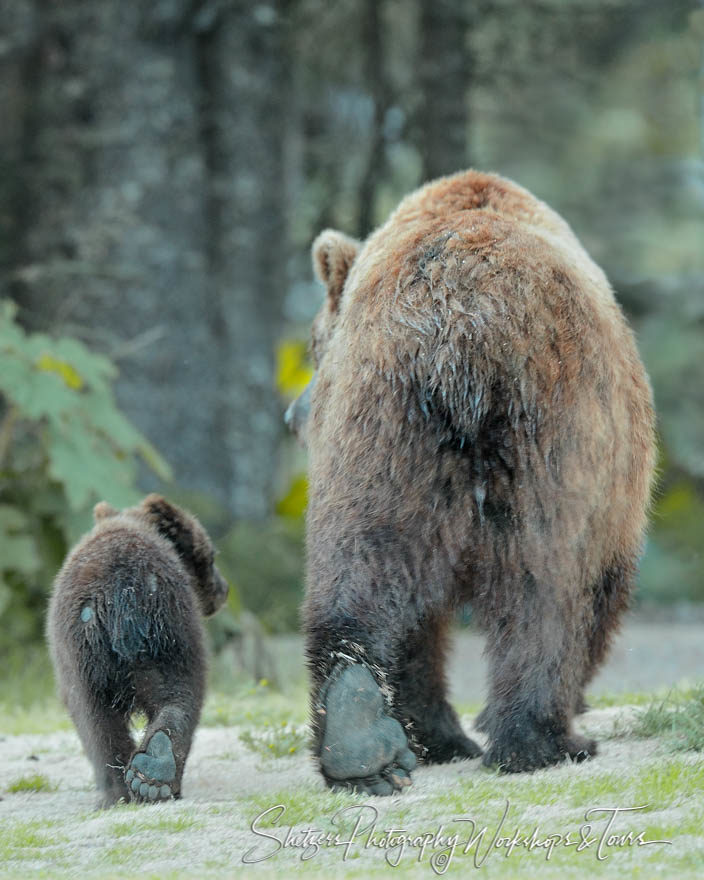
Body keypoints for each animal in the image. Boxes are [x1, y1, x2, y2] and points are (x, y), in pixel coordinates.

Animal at [46, 496, 228, 804]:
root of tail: (123, 593)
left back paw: (131, 785)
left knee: (96, 719)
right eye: (212, 556)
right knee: (174, 694)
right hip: (165, 632)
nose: (223, 589)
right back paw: (149, 774)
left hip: (97, 650)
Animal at [284, 168, 656, 796]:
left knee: (362, 568)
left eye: (311, 346)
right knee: (547, 583)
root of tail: (462, 318)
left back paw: (368, 741)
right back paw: (541, 740)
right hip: (549, 424)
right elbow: (598, 584)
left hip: (383, 427)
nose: (293, 412)